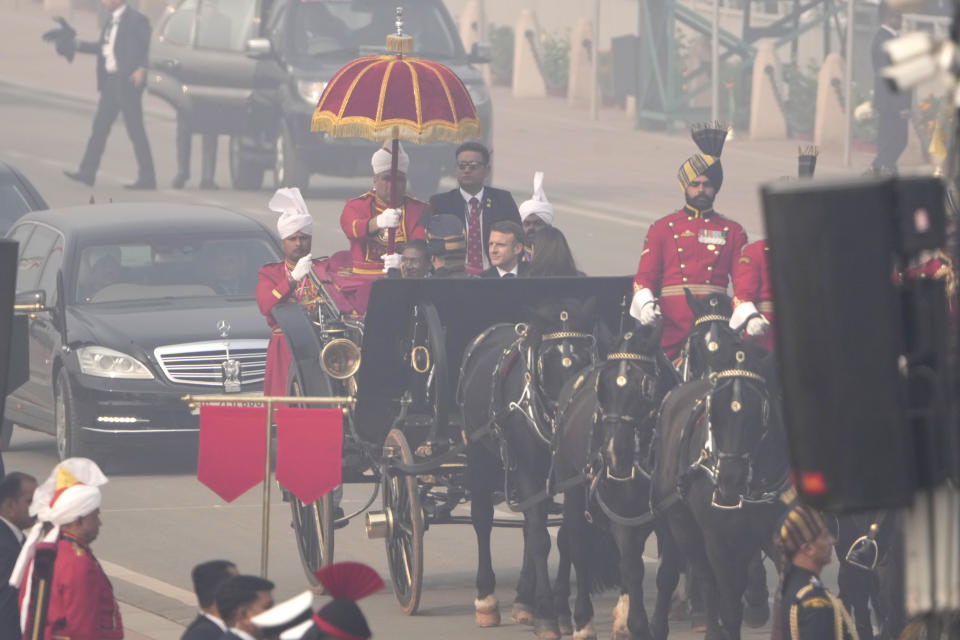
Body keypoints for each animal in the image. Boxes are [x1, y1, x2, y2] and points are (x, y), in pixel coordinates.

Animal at [458, 298, 600, 636]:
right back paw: (487, 598)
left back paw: (524, 599)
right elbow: (540, 538)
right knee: (482, 519)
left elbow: (569, 536)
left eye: (585, 360)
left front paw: (571, 614)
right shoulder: (526, 470)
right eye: (546, 363)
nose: (569, 417)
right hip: (479, 455)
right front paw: (547, 615)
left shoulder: (570, 478)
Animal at [552, 324, 680, 640]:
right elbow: (632, 568)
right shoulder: (620, 514)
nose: (611, 452)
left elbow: (667, 573)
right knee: (577, 546)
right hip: (573, 494)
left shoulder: (668, 517)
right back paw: (583, 621)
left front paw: (654, 626)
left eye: (645, 387)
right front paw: (639, 625)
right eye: (604, 388)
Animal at [648, 324, 792, 640]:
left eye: (758, 410)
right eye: (714, 412)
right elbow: (726, 600)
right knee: (696, 578)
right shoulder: (716, 538)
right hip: (681, 526)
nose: (729, 479)